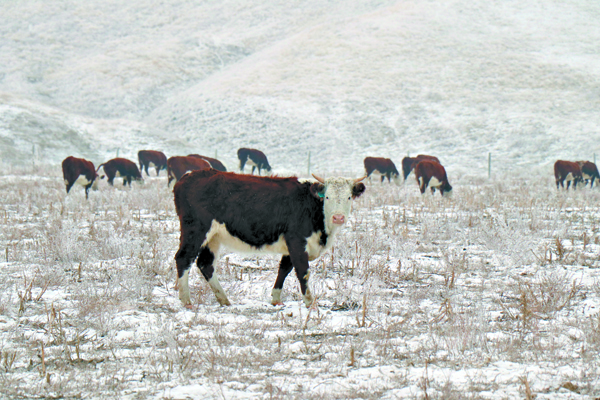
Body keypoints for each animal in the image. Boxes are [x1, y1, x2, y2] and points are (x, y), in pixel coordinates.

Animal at [172, 170, 366, 308]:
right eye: (327, 197)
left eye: (349, 197)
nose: (338, 217)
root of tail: (188, 176)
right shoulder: (297, 240)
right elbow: (302, 271)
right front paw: (310, 302)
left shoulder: (291, 247)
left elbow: (284, 269)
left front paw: (276, 299)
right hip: (195, 231)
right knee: (183, 258)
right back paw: (186, 300)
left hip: (213, 238)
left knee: (205, 264)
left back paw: (224, 300)